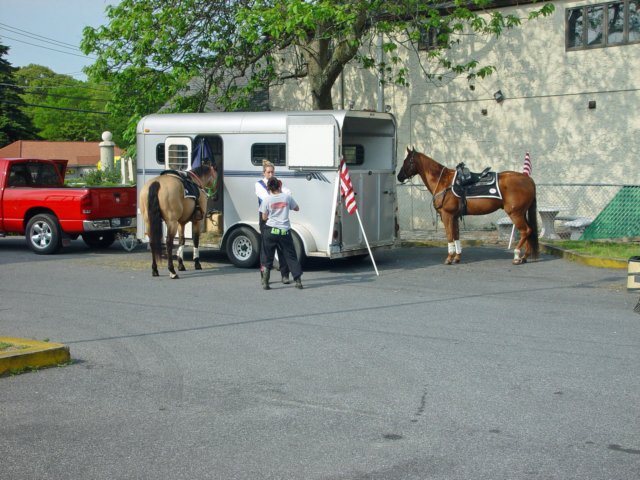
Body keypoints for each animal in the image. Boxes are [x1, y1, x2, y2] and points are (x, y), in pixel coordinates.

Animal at [398, 148, 536, 264]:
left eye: (407, 161)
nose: (399, 177)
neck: (443, 182)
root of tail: (528, 179)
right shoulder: (454, 216)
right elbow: (456, 236)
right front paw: (457, 257)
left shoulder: (447, 215)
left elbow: (449, 236)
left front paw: (449, 258)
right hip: (522, 213)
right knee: (530, 231)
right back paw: (524, 257)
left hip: (515, 214)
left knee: (525, 231)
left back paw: (517, 256)